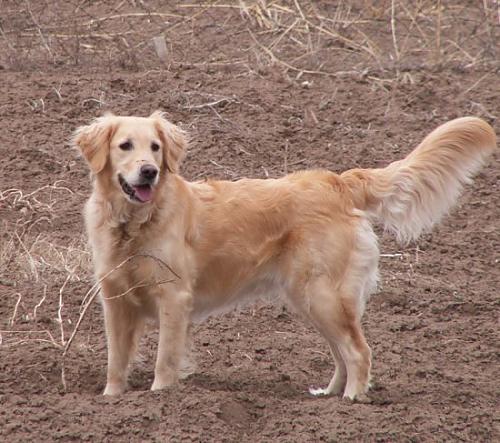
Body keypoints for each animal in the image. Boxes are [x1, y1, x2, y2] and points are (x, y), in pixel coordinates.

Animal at [73, 110, 496, 398]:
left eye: (156, 148)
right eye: (124, 146)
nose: (149, 171)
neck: (134, 224)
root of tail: (337, 180)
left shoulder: (173, 297)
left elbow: (165, 359)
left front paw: (159, 398)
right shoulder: (114, 298)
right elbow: (115, 359)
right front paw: (112, 398)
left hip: (322, 295)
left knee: (359, 351)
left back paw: (352, 401)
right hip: (311, 300)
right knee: (342, 352)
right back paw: (329, 395)